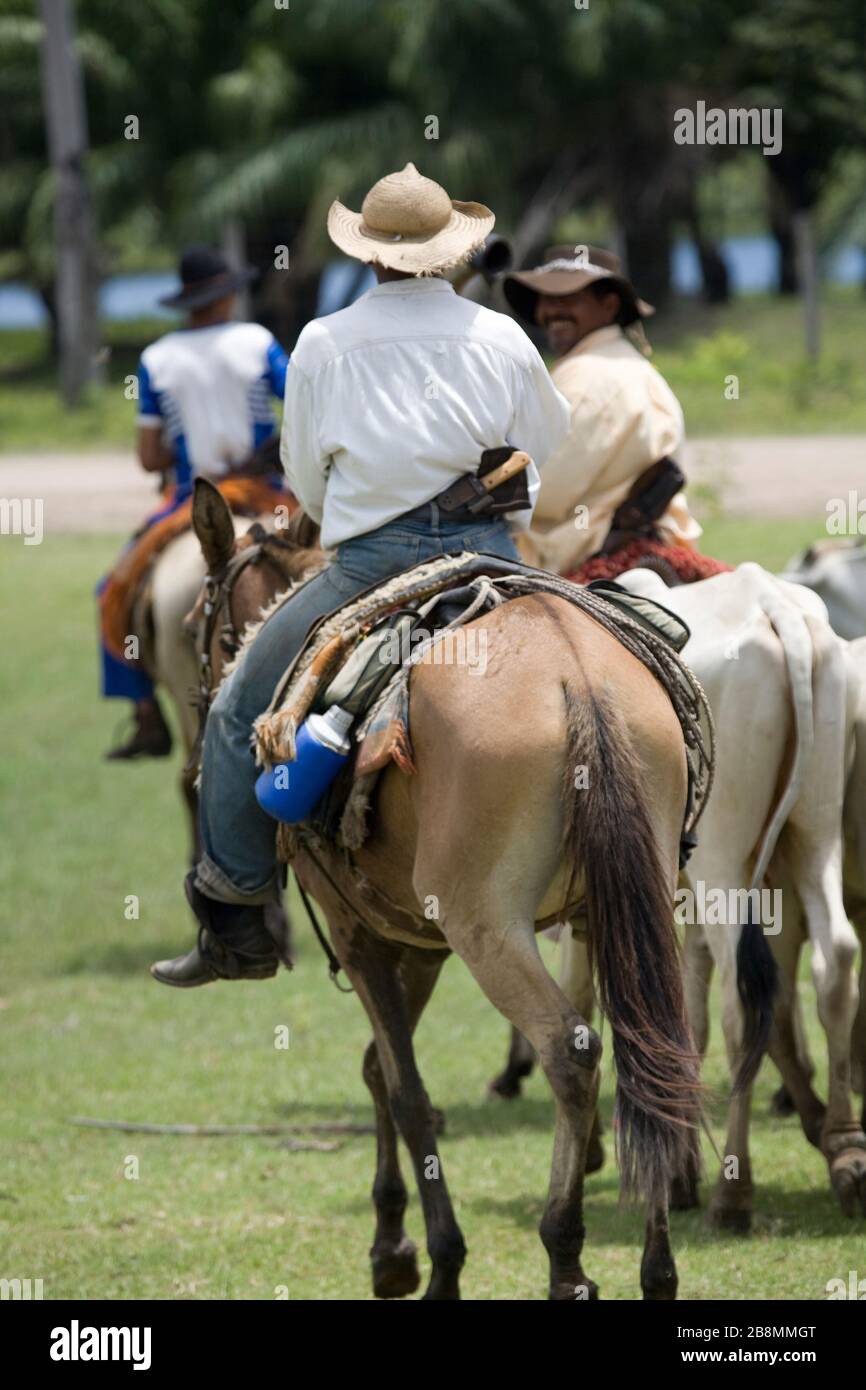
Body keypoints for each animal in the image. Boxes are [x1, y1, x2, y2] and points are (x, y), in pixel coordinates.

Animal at [184, 480, 706, 1301]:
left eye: (192, 628)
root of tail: (576, 678)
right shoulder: (419, 939)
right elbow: (380, 1068)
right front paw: (393, 1244)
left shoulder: (361, 933)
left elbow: (404, 1089)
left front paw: (429, 1259)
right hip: (635, 903)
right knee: (652, 1047)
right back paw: (656, 1270)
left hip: (489, 928)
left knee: (573, 1051)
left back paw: (566, 1257)